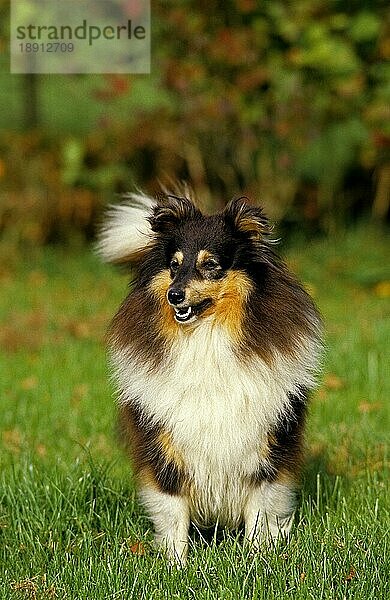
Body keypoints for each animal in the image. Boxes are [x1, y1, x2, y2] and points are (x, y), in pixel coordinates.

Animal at [98, 189, 322, 564]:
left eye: (211, 265)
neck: (206, 336)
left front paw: (256, 558)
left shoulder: (267, 445)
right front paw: (176, 564)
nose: (174, 295)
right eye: (174, 265)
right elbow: (173, 511)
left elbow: (260, 509)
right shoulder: (164, 444)